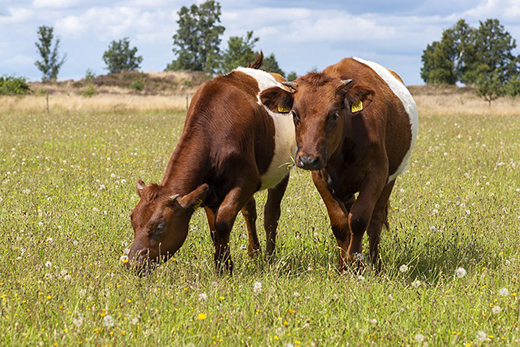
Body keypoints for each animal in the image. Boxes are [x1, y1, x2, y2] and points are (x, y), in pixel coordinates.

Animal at [128, 55, 294, 274]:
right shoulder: (208, 189)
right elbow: (214, 228)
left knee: (271, 213)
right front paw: (222, 264)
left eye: (160, 226)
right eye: (132, 220)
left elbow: (223, 222)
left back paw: (269, 257)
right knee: (250, 212)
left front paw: (225, 267)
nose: (133, 263)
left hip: (283, 170)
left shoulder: (247, 180)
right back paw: (254, 253)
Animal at [260, 57, 418, 270]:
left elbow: (359, 219)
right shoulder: (320, 177)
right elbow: (340, 222)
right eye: (294, 114)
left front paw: (356, 263)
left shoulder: (377, 174)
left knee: (375, 219)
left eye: (334, 115)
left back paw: (376, 264)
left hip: (390, 178)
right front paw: (344, 266)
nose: (308, 159)